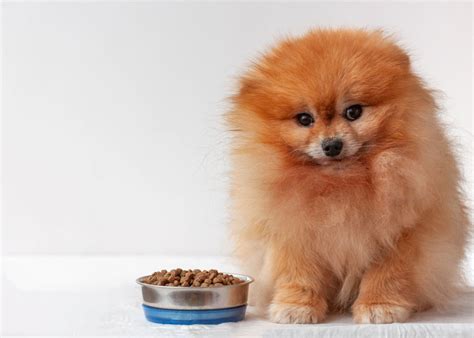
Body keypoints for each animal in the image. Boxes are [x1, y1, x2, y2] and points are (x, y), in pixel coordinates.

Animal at [228, 29, 468, 324]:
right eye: (305, 119)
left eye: (354, 112)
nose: (332, 145)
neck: (341, 186)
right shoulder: (293, 233)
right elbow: (299, 275)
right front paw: (296, 307)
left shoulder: (399, 235)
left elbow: (386, 274)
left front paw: (380, 306)